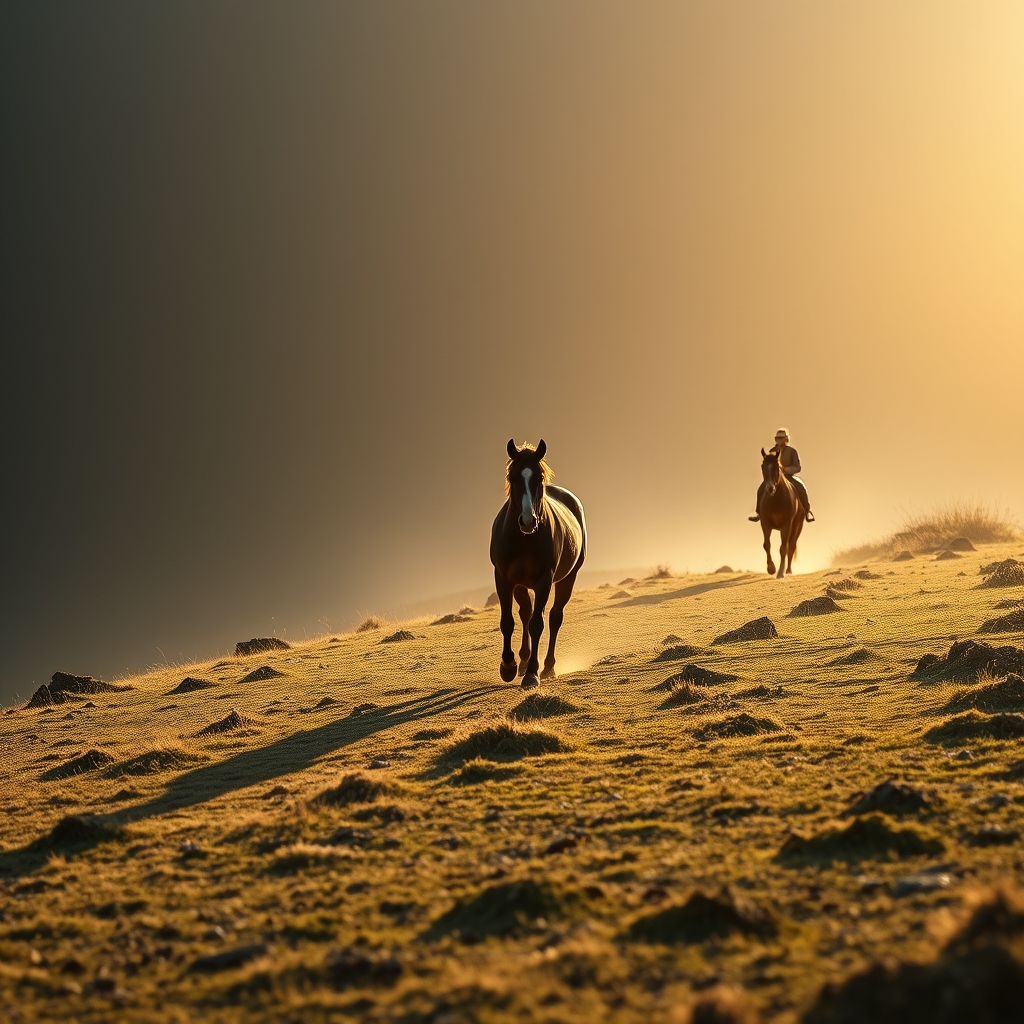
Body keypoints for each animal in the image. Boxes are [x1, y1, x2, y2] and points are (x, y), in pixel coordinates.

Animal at [489, 439, 587, 688]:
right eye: (512, 476)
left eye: (539, 477)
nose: (527, 521)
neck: (524, 539)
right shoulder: (503, 578)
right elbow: (508, 621)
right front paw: (508, 666)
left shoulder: (545, 579)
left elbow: (537, 624)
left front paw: (532, 674)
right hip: (521, 584)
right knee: (525, 612)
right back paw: (523, 662)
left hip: (568, 579)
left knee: (554, 618)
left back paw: (547, 667)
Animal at [758, 447, 805, 579]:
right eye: (762, 466)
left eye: (776, 467)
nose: (770, 488)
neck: (776, 500)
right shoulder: (765, 523)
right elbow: (766, 544)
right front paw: (771, 568)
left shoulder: (786, 525)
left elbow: (783, 548)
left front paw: (780, 572)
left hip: (797, 526)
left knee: (791, 546)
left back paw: (788, 570)